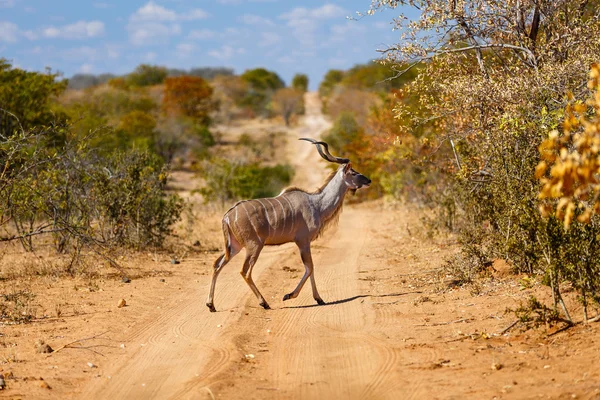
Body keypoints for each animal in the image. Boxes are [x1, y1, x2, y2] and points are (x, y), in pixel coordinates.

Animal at [206, 138, 370, 312]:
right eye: (353, 172)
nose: (369, 180)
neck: (316, 204)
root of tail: (227, 216)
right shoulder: (303, 241)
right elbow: (309, 267)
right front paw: (289, 295)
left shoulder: (305, 242)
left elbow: (311, 267)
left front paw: (319, 298)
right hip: (254, 246)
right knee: (245, 272)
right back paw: (264, 303)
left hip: (235, 246)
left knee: (217, 264)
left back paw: (211, 305)